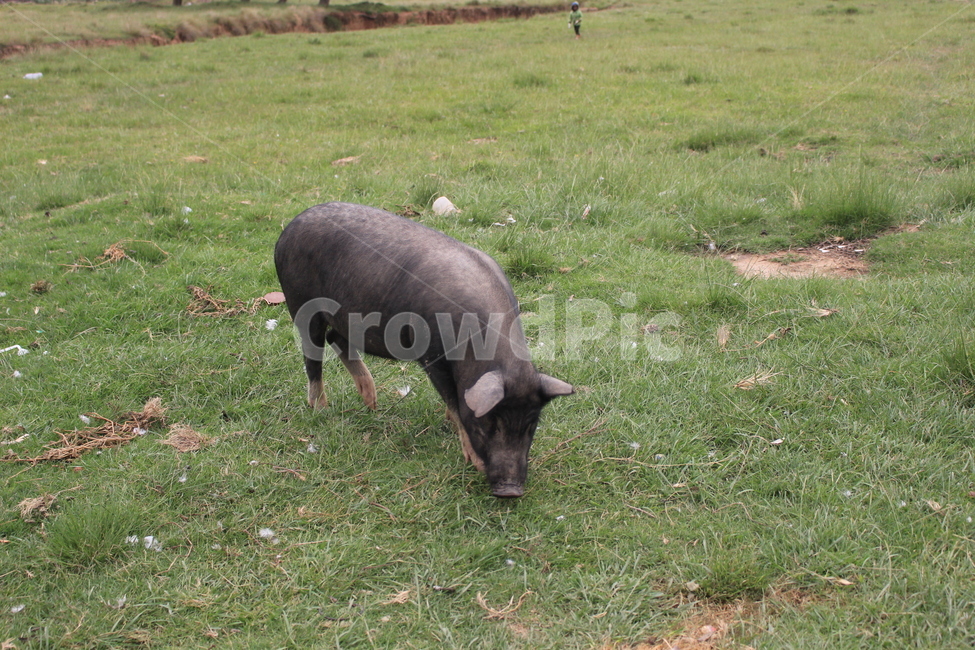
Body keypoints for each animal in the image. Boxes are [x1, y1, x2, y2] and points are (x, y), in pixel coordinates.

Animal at [274, 202, 573, 497]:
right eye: (491, 423)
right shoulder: (432, 357)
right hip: (300, 303)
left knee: (337, 338)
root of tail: (291, 225)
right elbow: (454, 400)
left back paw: (372, 403)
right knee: (313, 355)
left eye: (531, 425)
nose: (510, 490)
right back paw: (321, 409)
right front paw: (471, 459)